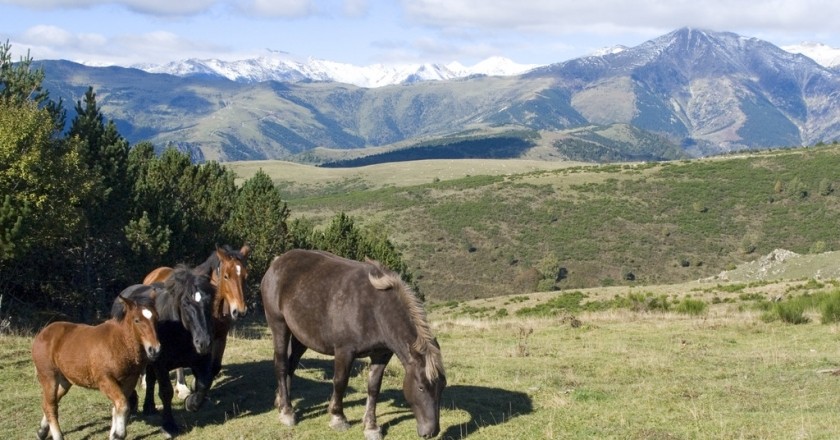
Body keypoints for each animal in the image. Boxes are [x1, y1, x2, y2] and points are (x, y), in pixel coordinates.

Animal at [31, 292, 161, 440]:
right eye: (137, 320)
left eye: (156, 318)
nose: (154, 349)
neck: (118, 342)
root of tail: (42, 333)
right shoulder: (105, 380)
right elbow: (123, 405)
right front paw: (119, 434)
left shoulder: (129, 381)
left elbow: (118, 406)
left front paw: (114, 434)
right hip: (49, 376)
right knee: (51, 405)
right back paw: (57, 435)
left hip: (65, 380)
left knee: (48, 402)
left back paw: (41, 431)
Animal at [111, 264, 215, 436]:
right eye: (185, 303)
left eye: (209, 301)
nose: (204, 342)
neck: (179, 330)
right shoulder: (160, 363)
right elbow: (166, 392)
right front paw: (169, 426)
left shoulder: (201, 360)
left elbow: (204, 384)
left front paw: (191, 402)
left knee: (150, 379)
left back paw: (149, 407)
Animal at [142, 244, 249, 398]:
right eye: (226, 276)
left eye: (245, 276)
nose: (240, 311)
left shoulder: (220, 338)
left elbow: (214, 366)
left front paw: (196, 384)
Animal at [260, 249, 446, 438]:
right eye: (421, 387)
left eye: (442, 387)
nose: (432, 432)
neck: (375, 308)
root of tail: (277, 262)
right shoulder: (345, 351)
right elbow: (340, 381)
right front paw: (338, 417)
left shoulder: (381, 355)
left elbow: (374, 387)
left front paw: (371, 426)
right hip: (279, 325)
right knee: (282, 364)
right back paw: (286, 411)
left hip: (301, 336)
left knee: (291, 364)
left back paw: (281, 401)